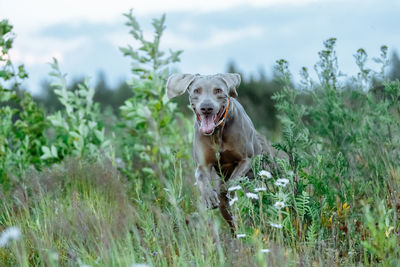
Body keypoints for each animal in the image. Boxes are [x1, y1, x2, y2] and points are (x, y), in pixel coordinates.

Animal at [165, 73, 278, 232]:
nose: (206, 108)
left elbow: (232, 182)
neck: (217, 133)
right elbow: (202, 178)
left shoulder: (246, 160)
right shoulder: (203, 165)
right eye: (196, 90)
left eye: (218, 90)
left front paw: (224, 190)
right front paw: (208, 197)